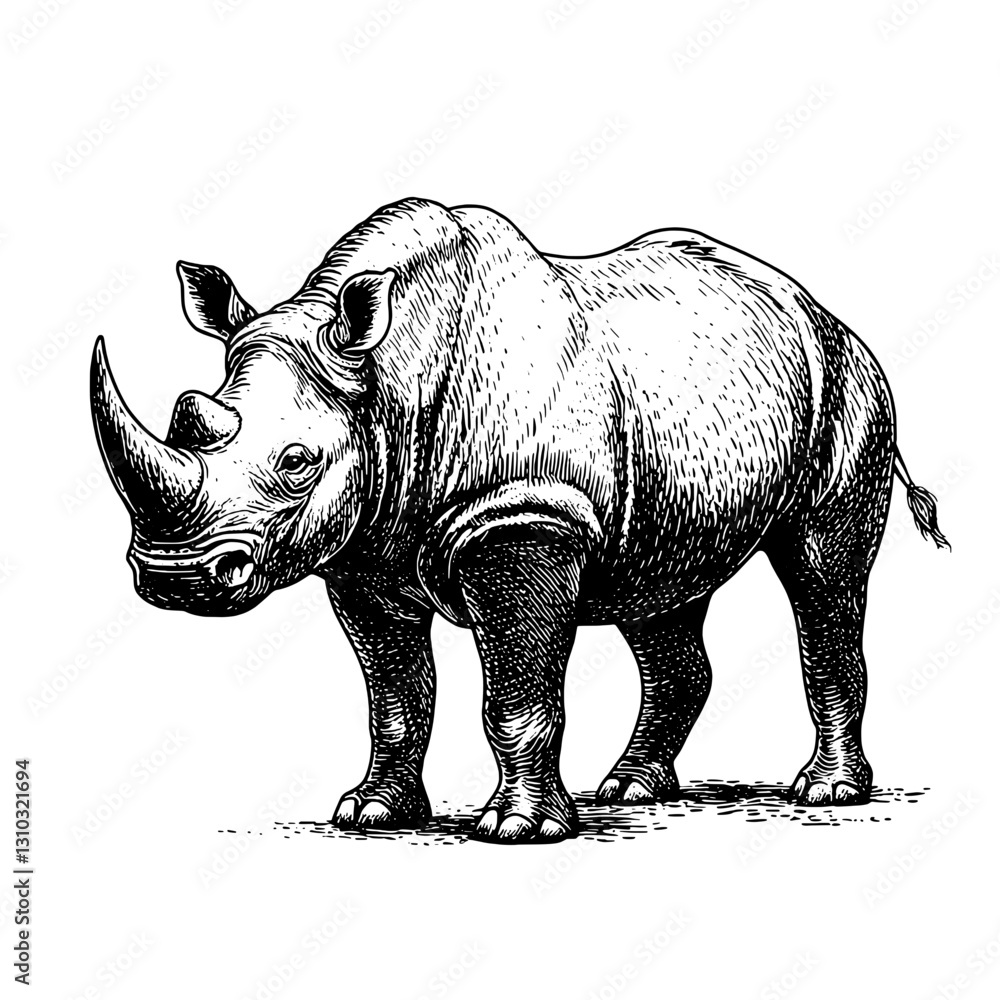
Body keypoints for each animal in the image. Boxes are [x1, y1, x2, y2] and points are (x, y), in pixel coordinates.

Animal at [91, 197, 948, 843]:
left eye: (298, 462)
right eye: (188, 421)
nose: (173, 576)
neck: (386, 381)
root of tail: (821, 311)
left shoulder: (523, 519)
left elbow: (517, 697)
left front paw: (518, 832)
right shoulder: (363, 552)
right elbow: (395, 699)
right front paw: (371, 813)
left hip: (851, 388)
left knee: (822, 574)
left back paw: (826, 794)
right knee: (661, 597)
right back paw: (631, 791)